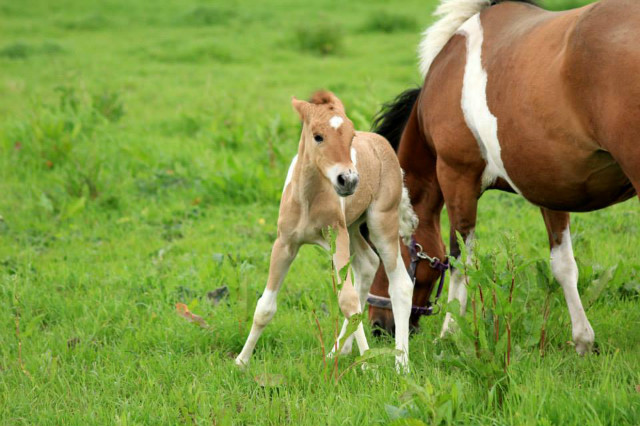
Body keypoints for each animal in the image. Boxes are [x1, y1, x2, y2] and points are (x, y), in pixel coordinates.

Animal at [232, 91, 418, 372]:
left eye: (350, 136)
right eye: (318, 136)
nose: (349, 180)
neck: (308, 197)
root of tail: (381, 142)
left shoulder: (336, 237)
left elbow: (348, 302)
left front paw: (368, 365)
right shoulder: (285, 244)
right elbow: (265, 307)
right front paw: (241, 361)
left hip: (380, 223)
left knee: (400, 285)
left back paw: (402, 363)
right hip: (352, 229)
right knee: (367, 264)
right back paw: (336, 352)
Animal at [368, 0, 636, 352]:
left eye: (378, 251)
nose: (376, 326)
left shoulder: (457, 178)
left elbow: (459, 261)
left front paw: (450, 334)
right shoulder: (548, 185)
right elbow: (563, 265)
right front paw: (583, 341)